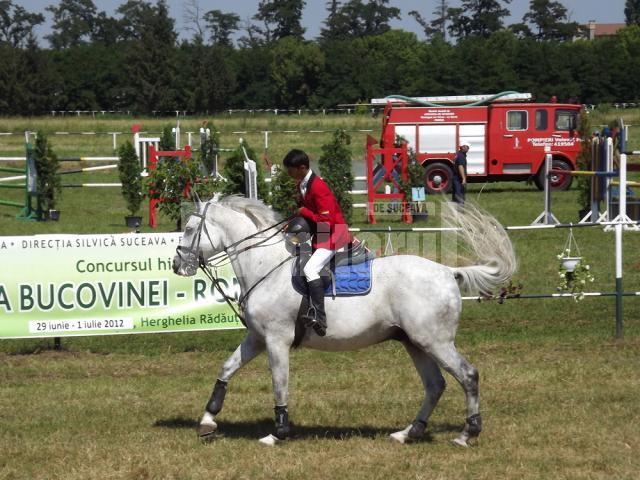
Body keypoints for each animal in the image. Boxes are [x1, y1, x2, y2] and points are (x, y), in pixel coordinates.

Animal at [172, 195, 516, 446]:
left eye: (189, 229)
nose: (177, 264)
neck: (264, 266)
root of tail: (448, 271)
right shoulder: (257, 338)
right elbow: (226, 369)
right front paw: (207, 420)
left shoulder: (276, 340)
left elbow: (280, 385)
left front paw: (277, 433)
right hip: (415, 342)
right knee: (435, 385)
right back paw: (408, 433)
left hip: (435, 341)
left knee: (467, 375)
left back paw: (466, 434)